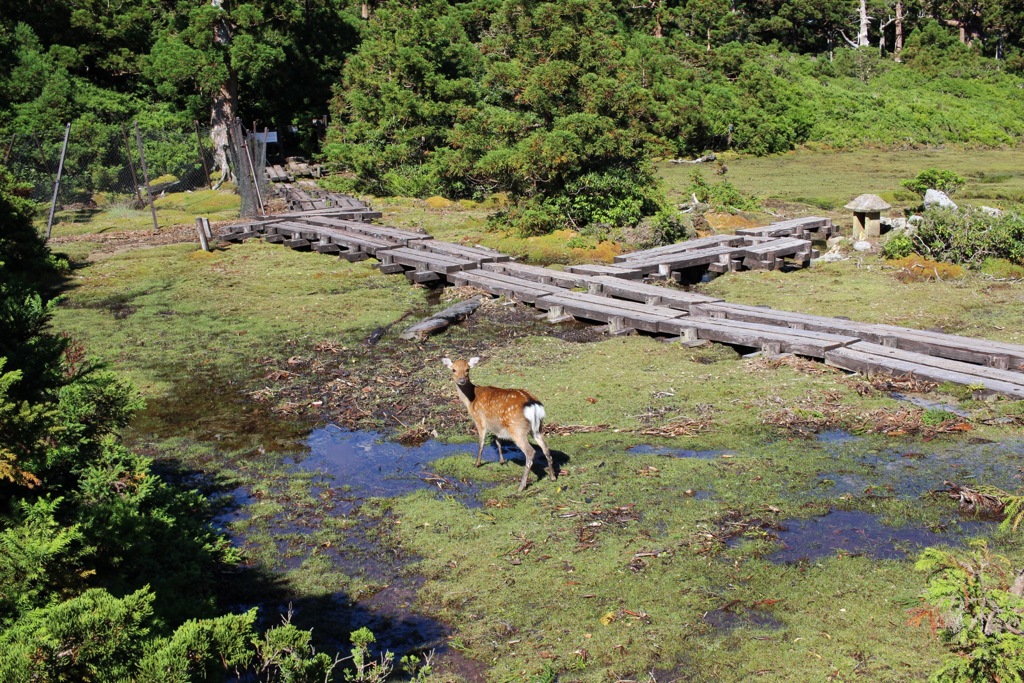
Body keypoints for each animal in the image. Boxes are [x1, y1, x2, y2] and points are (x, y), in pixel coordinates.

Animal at [438, 358, 552, 491]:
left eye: (467, 369)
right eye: (453, 369)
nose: (462, 380)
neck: (471, 401)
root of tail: (533, 405)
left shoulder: (480, 420)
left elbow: (481, 443)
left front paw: (477, 464)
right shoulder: (496, 425)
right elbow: (498, 441)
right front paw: (502, 461)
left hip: (517, 429)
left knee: (530, 452)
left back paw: (521, 486)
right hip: (538, 428)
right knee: (545, 448)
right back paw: (553, 477)